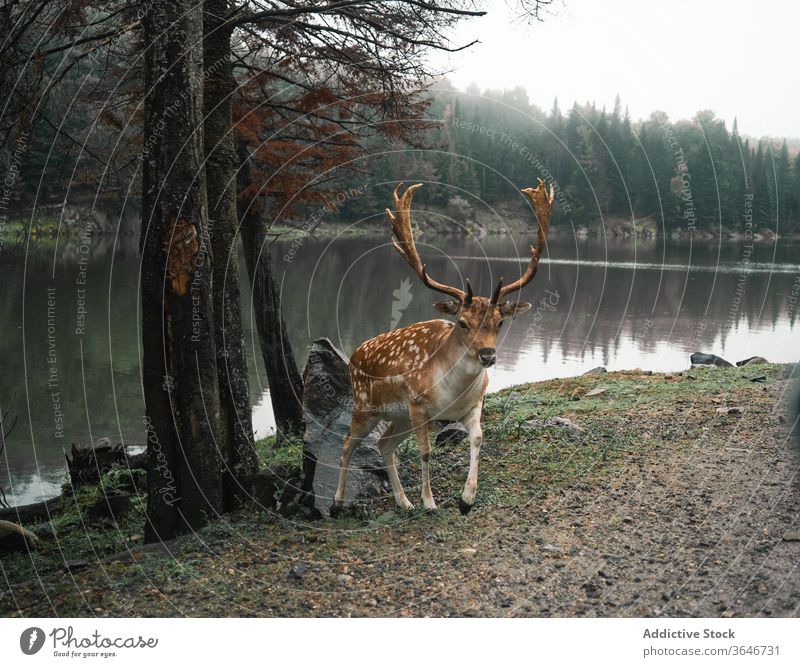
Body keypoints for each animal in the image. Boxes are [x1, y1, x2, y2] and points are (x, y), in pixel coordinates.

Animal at [328, 180, 552, 520]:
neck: (451, 393)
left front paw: (466, 499)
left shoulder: (474, 404)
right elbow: (426, 451)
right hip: (366, 404)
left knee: (384, 444)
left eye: (499, 322)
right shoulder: (418, 405)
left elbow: (478, 438)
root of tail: (354, 355)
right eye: (462, 322)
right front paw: (430, 502)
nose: (488, 355)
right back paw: (337, 503)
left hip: (399, 417)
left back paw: (403, 502)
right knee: (346, 442)